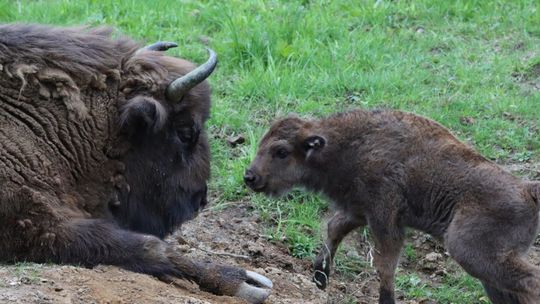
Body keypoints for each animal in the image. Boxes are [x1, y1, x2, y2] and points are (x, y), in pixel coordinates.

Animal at [246, 110, 540, 304]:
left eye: (281, 151)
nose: (250, 177)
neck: (348, 143)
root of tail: (527, 189)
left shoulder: (384, 218)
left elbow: (385, 264)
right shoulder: (358, 210)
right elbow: (334, 228)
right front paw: (321, 276)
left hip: (470, 250)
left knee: (531, 281)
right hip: (491, 270)